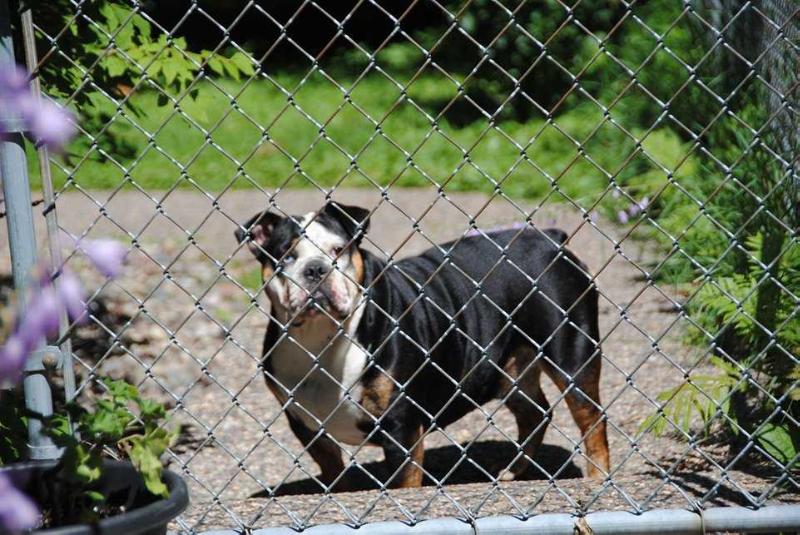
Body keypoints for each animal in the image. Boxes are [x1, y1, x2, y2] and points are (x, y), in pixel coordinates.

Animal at [234, 202, 608, 490]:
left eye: (338, 251)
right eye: (285, 256)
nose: (315, 269)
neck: (322, 337)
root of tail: (551, 240)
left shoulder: (400, 427)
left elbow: (405, 479)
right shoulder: (308, 427)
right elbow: (333, 470)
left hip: (571, 354)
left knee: (590, 417)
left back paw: (597, 476)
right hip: (508, 371)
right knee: (535, 413)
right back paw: (513, 471)